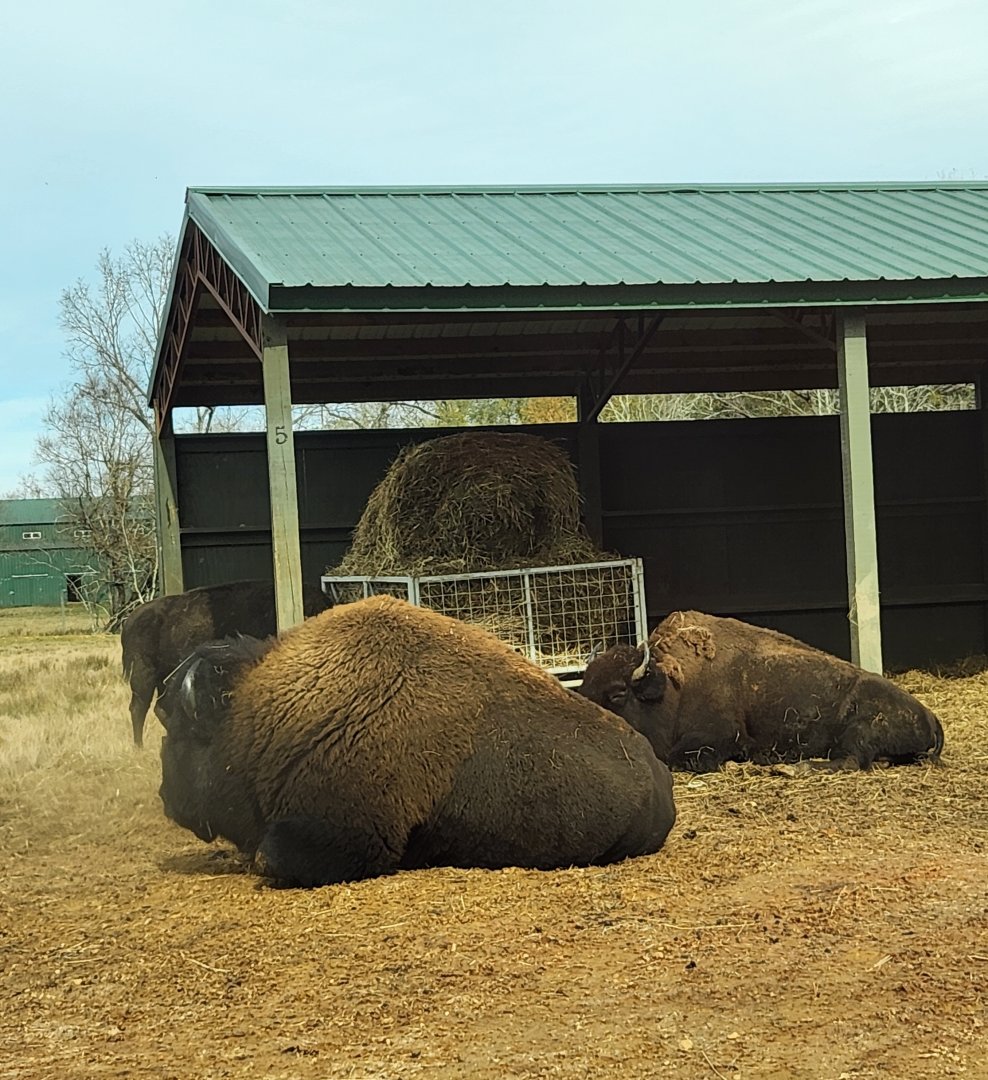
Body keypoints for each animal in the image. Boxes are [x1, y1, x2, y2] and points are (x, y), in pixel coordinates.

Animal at [578, 609, 944, 773]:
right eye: (584, 683)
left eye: (618, 693)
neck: (672, 689)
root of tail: (930, 715)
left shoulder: (716, 737)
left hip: (858, 732)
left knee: (849, 761)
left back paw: (788, 767)